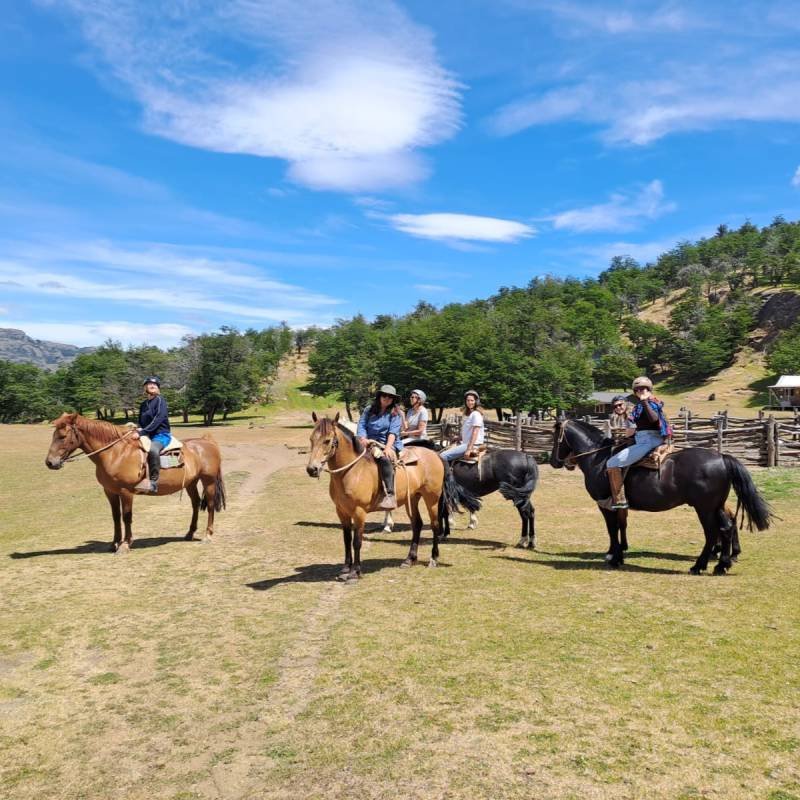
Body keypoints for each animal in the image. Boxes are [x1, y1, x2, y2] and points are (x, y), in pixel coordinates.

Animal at [45, 412, 225, 552]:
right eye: (53, 435)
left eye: (62, 436)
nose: (50, 463)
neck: (115, 453)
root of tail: (207, 441)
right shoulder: (110, 492)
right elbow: (116, 517)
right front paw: (114, 543)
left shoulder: (126, 492)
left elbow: (126, 516)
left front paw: (125, 544)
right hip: (191, 483)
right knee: (195, 504)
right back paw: (189, 533)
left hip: (208, 481)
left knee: (209, 505)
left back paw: (207, 535)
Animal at [304, 412, 446, 580]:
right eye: (311, 439)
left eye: (327, 440)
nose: (312, 469)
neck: (352, 471)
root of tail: (435, 454)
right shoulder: (341, 511)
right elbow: (346, 539)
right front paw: (345, 569)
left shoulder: (359, 512)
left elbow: (357, 541)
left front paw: (355, 572)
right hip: (412, 499)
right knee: (417, 524)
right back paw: (409, 560)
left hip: (432, 498)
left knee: (435, 525)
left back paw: (433, 558)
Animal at [552, 418, 768, 576]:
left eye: (556, 437)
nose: (554, 461)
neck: (599, 460)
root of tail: (722, 457)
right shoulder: (618, 505)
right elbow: (621, 526)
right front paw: (619, 554)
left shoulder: (604, 504)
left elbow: (612, 529)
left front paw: (614, 557)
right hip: (717, 507)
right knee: (727, 528)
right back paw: (722, 565)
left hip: (705, 509)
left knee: (712, 533)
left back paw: (699, 566)